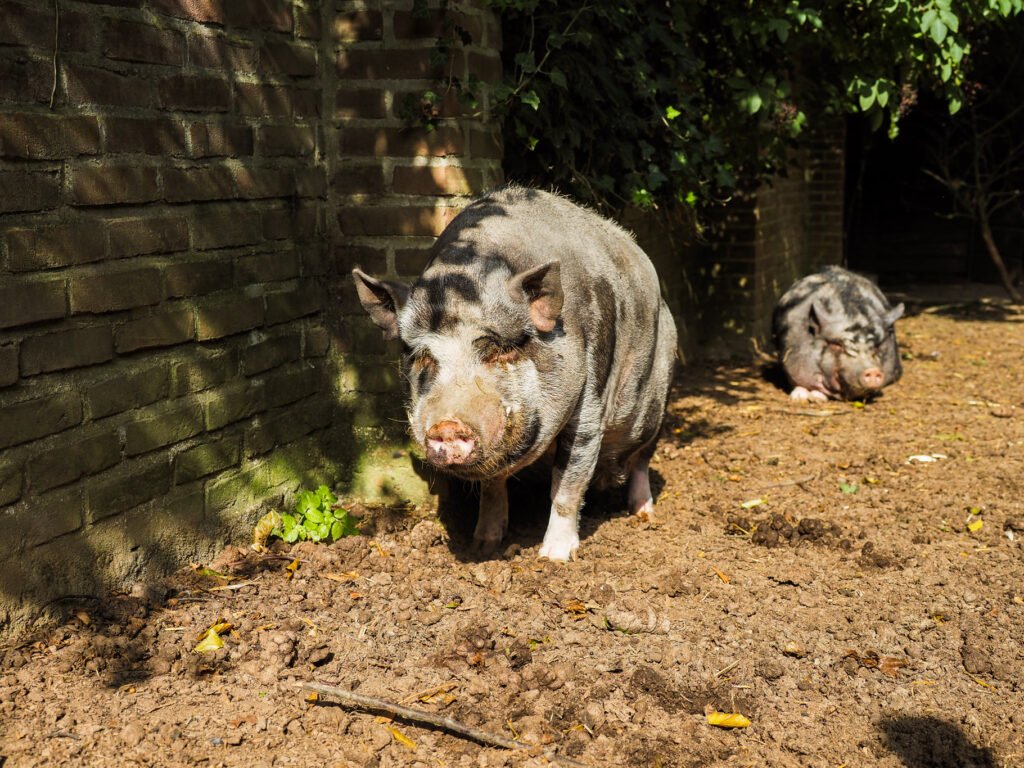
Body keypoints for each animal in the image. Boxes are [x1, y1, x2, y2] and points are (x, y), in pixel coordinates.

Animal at [352, 186, 678, 561]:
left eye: (499, 349)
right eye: (423, 356)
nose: (447, 425)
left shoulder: (590, 407)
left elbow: (567, 485)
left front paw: (554, 557)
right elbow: (492, 488)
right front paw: (483, 546)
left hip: (654, 405)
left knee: (641, 459)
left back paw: (643, 513)